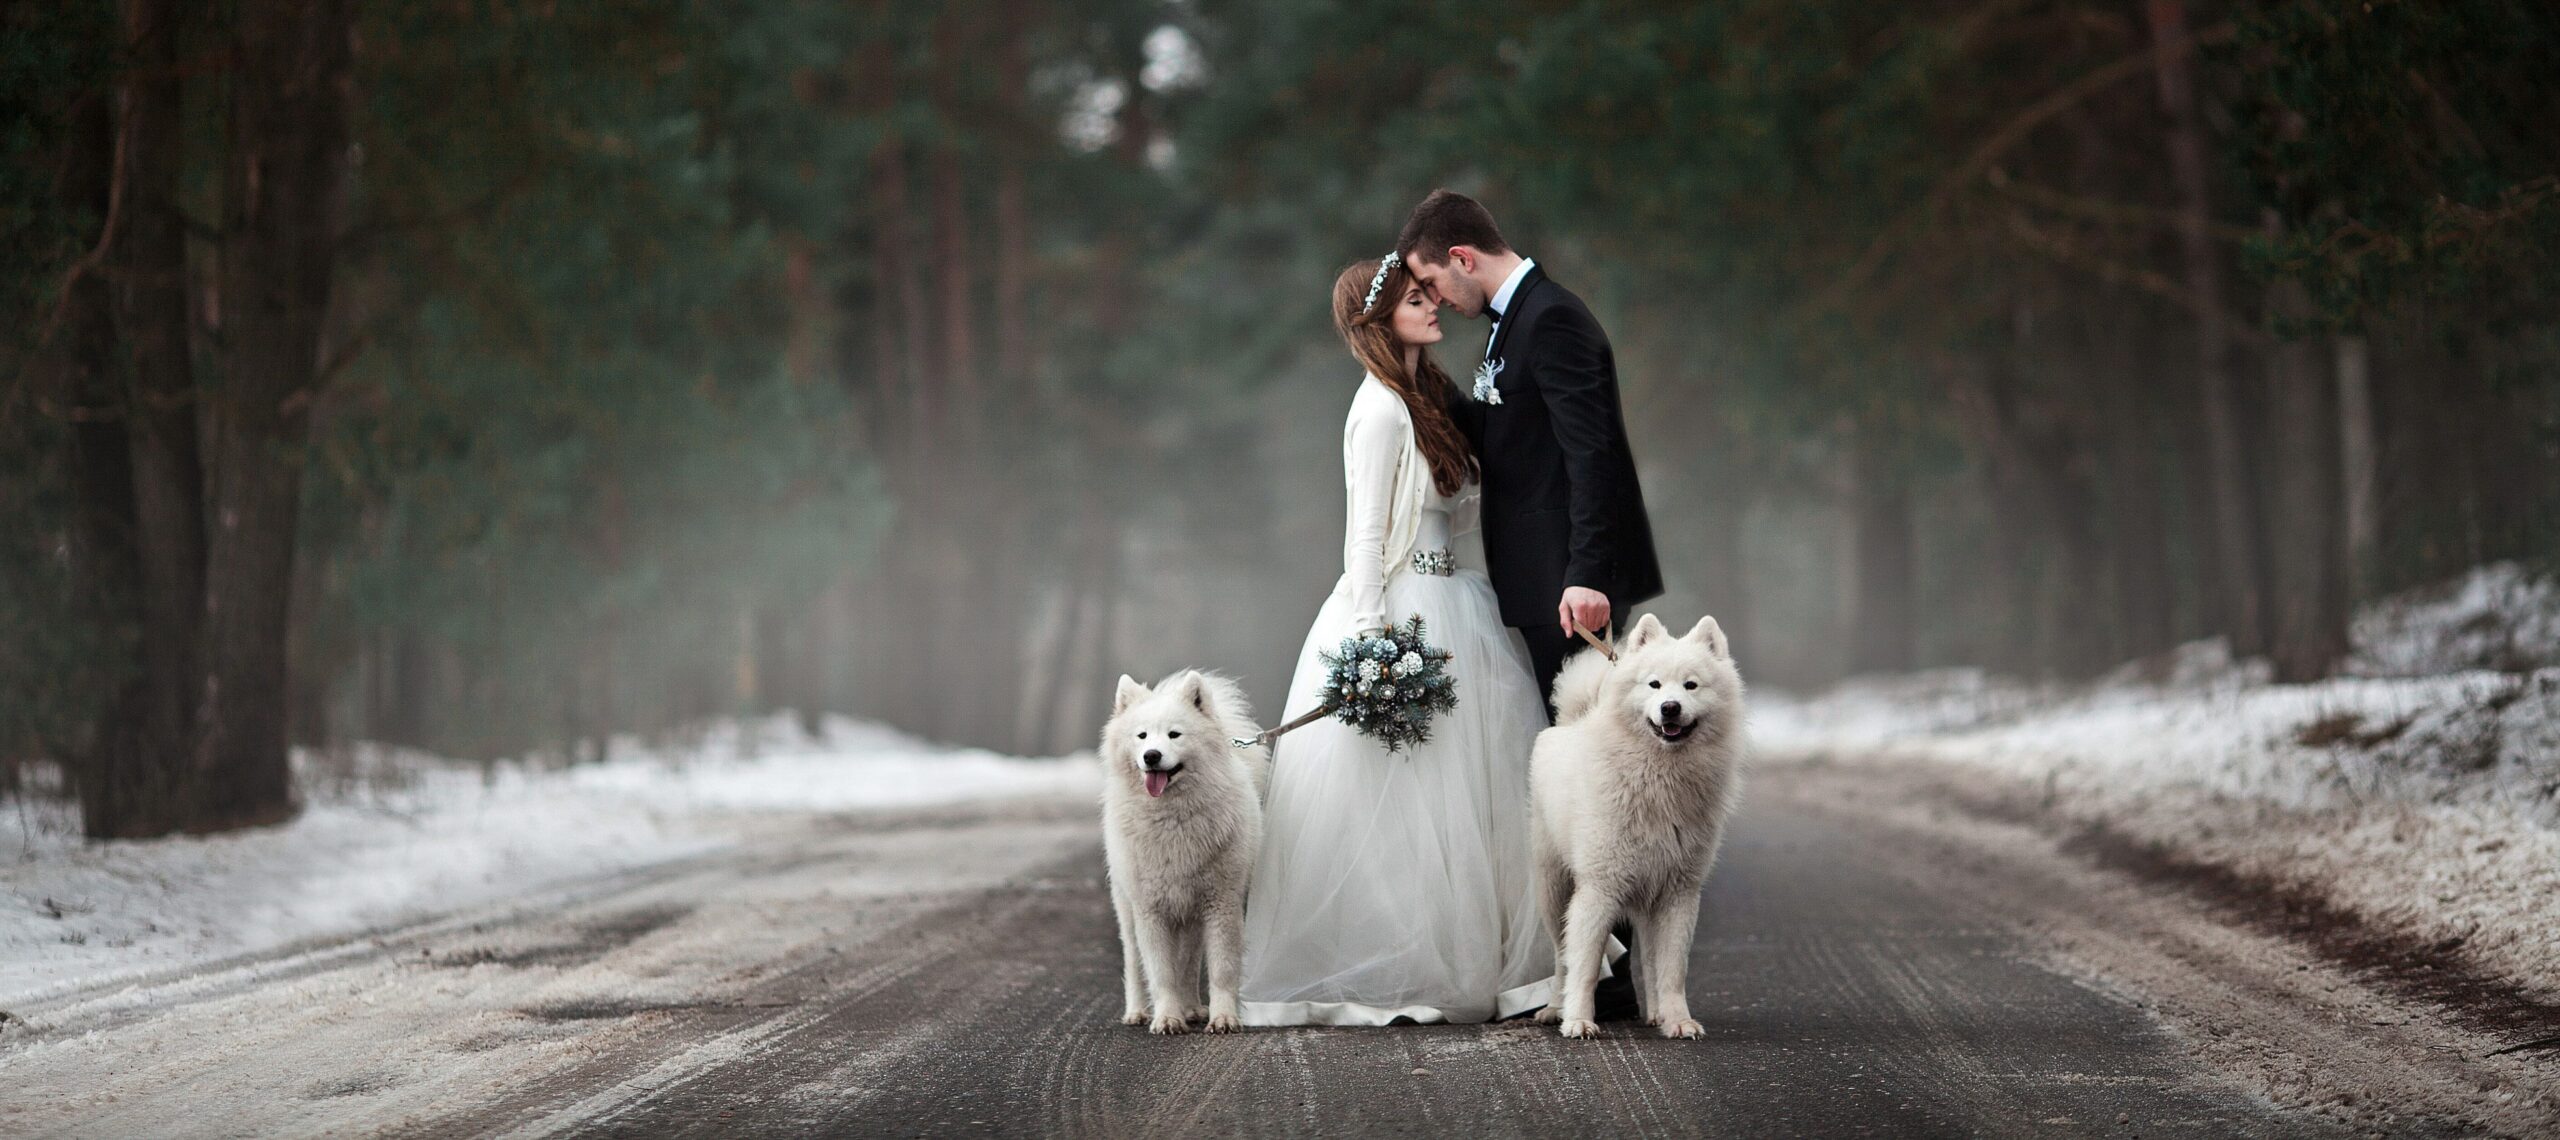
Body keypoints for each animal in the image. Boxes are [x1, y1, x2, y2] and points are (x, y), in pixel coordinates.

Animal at [1100, 666, 1269, 1029]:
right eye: (1142, 736)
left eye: (1174, 735)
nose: (1151, 756)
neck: (1172, 819)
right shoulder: (1149, 911)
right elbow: (1160, 973)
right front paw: (1166, 1018)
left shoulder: (1221, 904)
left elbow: (1221, 969)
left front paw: (1223, 1018)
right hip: (1127, 910)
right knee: (1134, 963)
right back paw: (1137, 1012)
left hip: (1192, 917)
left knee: (1190, 963)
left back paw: (1191, 1007)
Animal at [1525, 612, 1751, 1040]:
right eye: (1654, 684)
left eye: (1691, 685)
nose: (1670, 708)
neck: (1659, 780)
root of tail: (1572, 721)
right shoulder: (1598, 889)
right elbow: (1584, 964)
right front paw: (1578, 1020)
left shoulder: (1679, 892)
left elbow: (1672, 968)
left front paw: (1678, 1020)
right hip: (1553, 889)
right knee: (1561, 956)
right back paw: (1554, 1008)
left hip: (1647, 897)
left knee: (1647, 957)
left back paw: (1657, 1014)